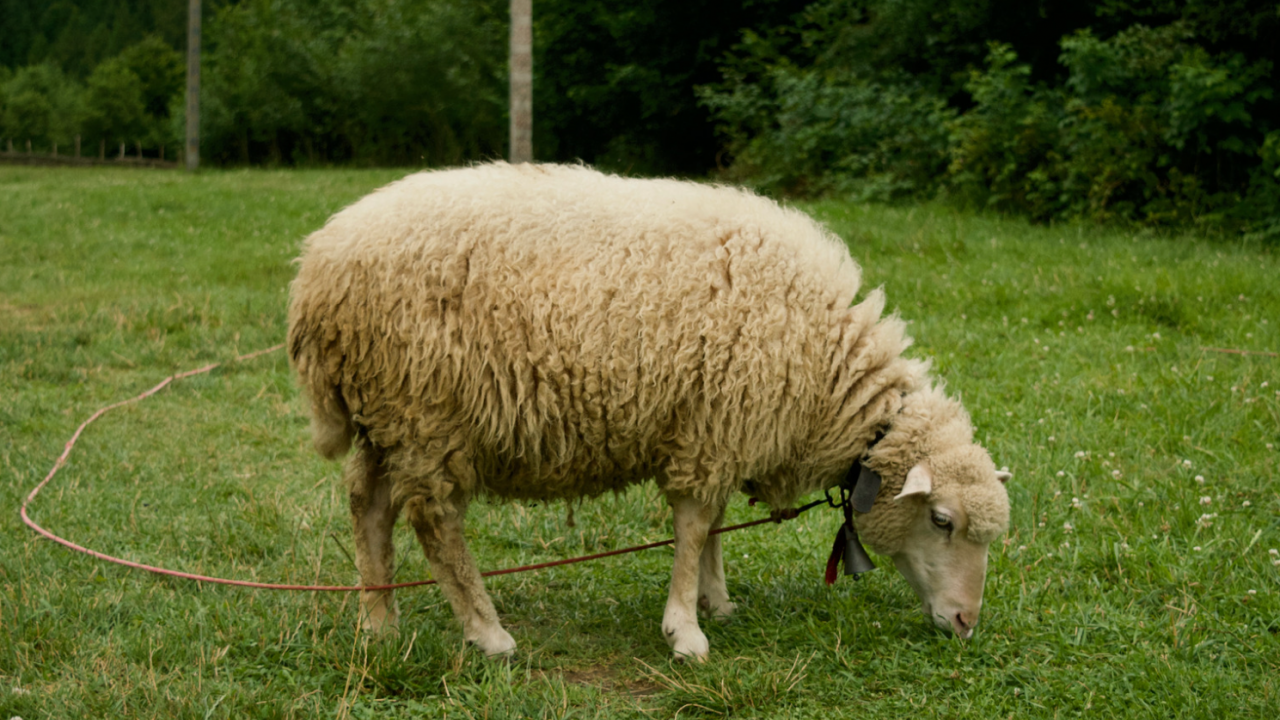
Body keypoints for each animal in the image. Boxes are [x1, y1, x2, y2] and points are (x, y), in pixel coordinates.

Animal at [288, 162, 1008, 655]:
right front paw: (685, 631)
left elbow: (713, 524)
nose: (967, 622)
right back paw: (487, 633)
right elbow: (693, 526)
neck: (829, 373)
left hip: (388, 417)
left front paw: (716, 601)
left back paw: (380, 624)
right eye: (941, 520)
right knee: (434, 521)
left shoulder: (720, 426)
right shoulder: (714, 425)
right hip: (425, 412)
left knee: (368, 504)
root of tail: (316, 269)